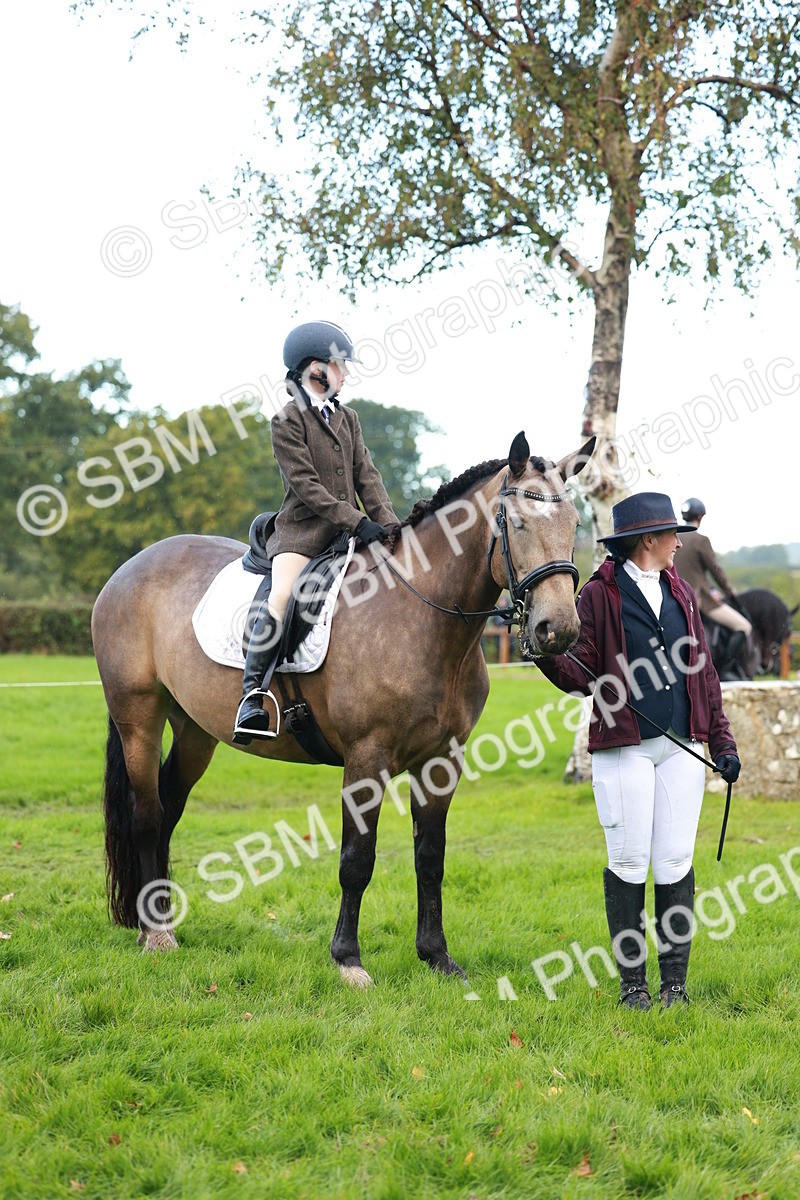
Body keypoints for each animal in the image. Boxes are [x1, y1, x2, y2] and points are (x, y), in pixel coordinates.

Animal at [92, 432, 595, 986]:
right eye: (518, 523)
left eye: (574, 526)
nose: (559, 630)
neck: (421, 615)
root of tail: (132, 566)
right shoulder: (366, 760)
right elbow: (357, 859)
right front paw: (348, 960)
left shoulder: (442, 761)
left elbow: (430, 857)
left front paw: (437, 957)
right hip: (139, 717)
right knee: (146, 814)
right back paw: (157, 936)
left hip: (195, 731)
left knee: (169, 809)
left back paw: (155, 922)